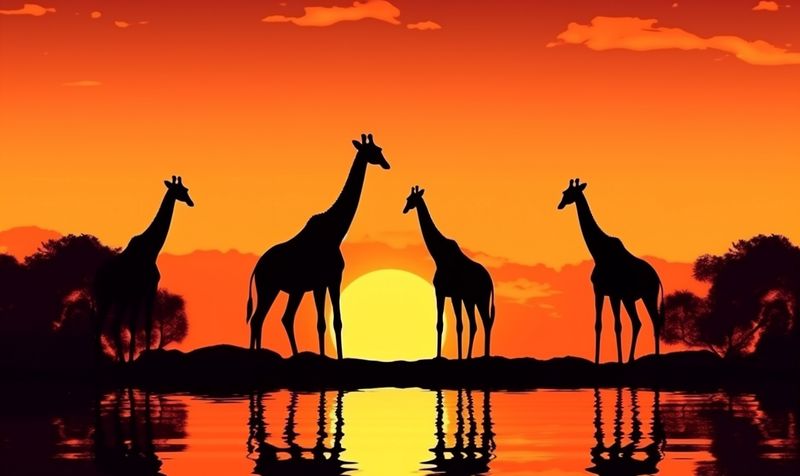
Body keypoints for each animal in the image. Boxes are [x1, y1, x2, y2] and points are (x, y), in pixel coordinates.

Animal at [94, 176, 194, 362]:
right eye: (182, 190)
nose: (192, 202)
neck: (152, 250)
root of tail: (97, 275)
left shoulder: (143, 290)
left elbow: (140, 322)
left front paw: (137, 355)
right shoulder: (143, 289)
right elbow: (140, 323)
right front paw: (139, 355)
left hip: (117, 297)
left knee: (111, 323)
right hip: (107, 295)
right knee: (102, 323)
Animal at [246, 133, 390, 359]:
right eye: (375, 151)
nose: (386, 164)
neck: (336, 232)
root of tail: (257, 268)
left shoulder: (327, 281)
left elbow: (333, 322)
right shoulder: (326, 280)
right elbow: (325, 323)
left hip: (288, 290)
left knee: (279, 318)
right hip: (269, 287)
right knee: (259, 318)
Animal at [403, 186, 495, 359]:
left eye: (411, 199)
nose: (404, 209)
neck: (439, 256)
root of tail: (490, 281)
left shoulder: (449, 294)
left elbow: (454, 325)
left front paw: (449, 356)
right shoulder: (446, 293)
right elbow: (444, 324)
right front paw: (447, 356)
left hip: (481, 298)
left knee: (486, 322)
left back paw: (485, 355)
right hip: (471, 299)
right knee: (475, 324)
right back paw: (469, 356)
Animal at [557, 178, 664, 364]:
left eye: (568, 193)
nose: (560, 205)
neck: (598, 253)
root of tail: (657, 278)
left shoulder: (614, 294)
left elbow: (617, 325)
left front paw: (618, 361)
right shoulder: (600, 291)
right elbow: (598, 325)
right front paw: (597, 360)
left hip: (648, 295)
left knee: (654, 321)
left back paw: (652, 357)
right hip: (631, 299)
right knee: (638, 322)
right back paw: (631, 359)